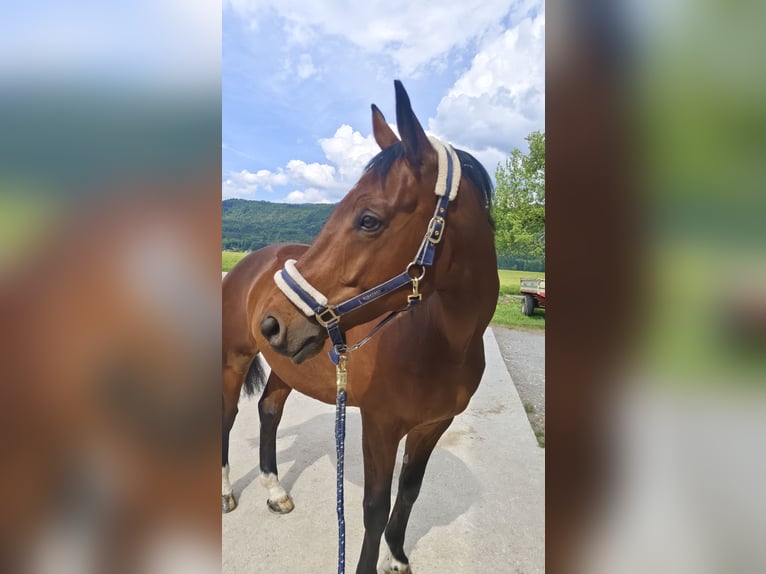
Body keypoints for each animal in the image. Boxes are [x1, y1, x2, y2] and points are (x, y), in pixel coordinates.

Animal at [222, 80, 498, 574]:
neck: (442, 342)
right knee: (228, 414)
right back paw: (225, 493)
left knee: (269, 411)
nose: (271, 322)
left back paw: (275, 491)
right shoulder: (379, 425)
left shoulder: (432, 426)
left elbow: (408, 493)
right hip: (235, 359)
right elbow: (374, 507)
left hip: (288, 365)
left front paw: (398, 557)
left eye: (368, 219)